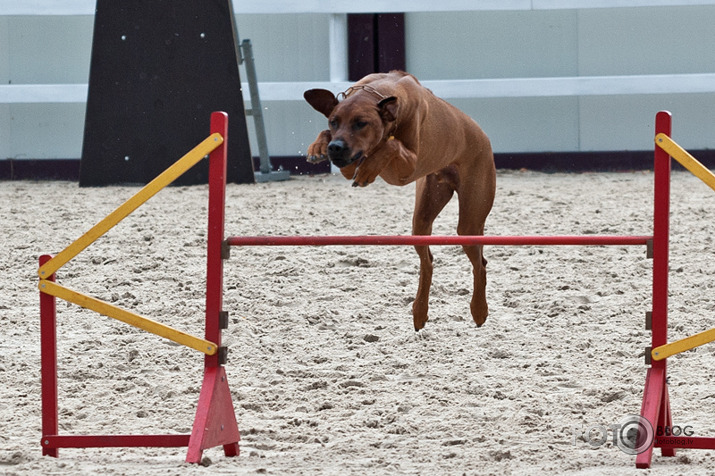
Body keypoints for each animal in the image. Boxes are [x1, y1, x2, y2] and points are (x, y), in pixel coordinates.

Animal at [304, 70, 498, 330]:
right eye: (333, 121)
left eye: (361, 123)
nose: (335, 148)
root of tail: (482, 134)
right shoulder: (348, 162)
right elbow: (338, 143)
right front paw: (317, 147)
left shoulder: (407, 168)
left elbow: (392, 145)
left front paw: (368, 168)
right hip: (423, 213)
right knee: (428, 261)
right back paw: (420, 311)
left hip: (470, 218)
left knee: (479, 263)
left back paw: (479, 309)